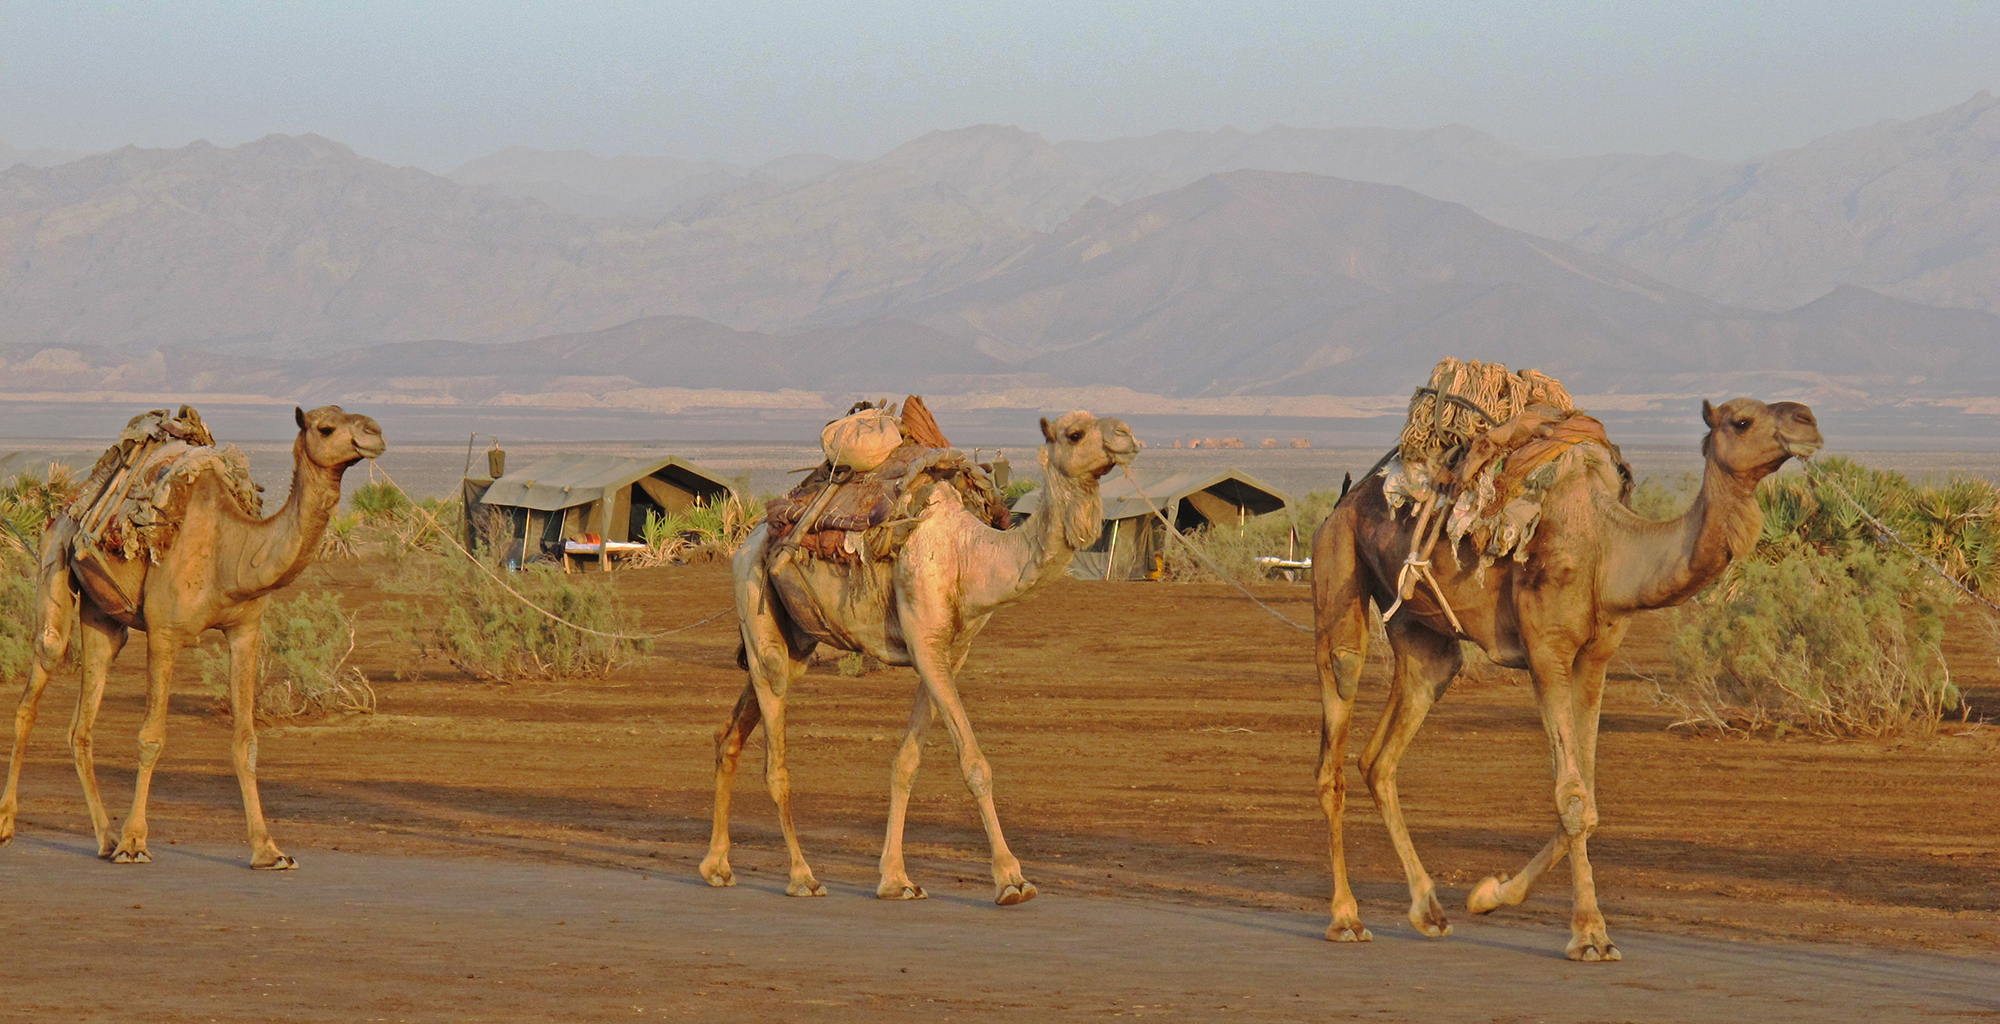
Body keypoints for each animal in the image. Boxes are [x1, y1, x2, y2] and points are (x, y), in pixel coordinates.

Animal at [0, 404, 386, 868]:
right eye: (326, 428)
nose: (374, 432)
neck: (231, 552)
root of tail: (70, 503)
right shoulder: (164, 634)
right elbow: (151, 737)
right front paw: (135, 842)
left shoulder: (246, 630)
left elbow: (246, 742)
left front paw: (268, 850)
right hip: (54, 559)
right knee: (39, 677)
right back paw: (11, 826)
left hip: (103, 617)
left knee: (82, 722)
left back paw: (105, 838)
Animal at [704, 408, 1144, 904]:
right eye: (1075, 433)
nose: (1127, 436)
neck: (970, 555)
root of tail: (750, 538)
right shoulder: (924, 641)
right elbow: (974, 763)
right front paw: (1011, 879)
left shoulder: (949, 652)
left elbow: (906, 763)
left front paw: (895, 879)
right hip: (755, 600)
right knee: (776, 758)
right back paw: (802, 876)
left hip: (794, 636)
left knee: (730, 734)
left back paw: (717, 866)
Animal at [1312, 398, 1832, 960]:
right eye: (1741, 421)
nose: (1808, 422)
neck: (1611, 548)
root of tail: (1346, 500)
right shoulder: (1547, 653)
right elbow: (1572, 796)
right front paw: (1590, 934)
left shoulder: (1594, 658)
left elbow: (1590, 801)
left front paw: (1489, 894)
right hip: (1337, 570)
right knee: (1337, 727)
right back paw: (1346, 918)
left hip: (1423, 636)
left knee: (1380, 755)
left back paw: (1428, 910)